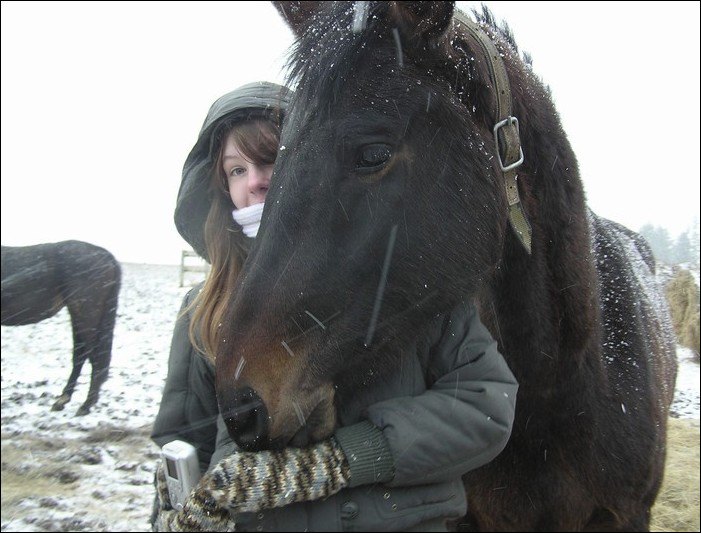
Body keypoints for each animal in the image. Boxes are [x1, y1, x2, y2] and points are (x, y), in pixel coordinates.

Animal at [1, 238, 120, 416]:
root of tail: (108, 257)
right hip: (79, 314)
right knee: (80, 355)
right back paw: (63, 400)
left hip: (86, 314)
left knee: (94, 358)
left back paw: (85, 405)